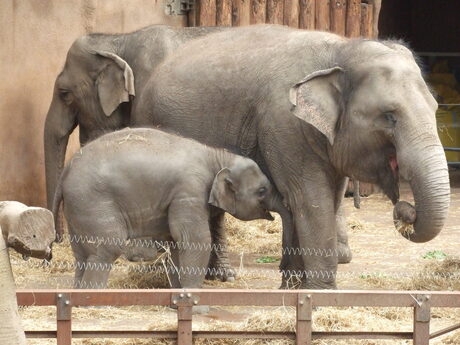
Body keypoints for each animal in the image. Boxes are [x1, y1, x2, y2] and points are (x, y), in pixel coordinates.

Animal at [52, 126, 290, 288]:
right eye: (262, 191)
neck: (217, 156)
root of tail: (65, 173)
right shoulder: (190, 191)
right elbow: (194, 240)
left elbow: (176, 242)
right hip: (93, 202)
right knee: (106, 249)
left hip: (78, 208)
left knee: (82, 255)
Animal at [132, 24, 450, 288]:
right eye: (389, 116)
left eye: (436, 108)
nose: (405, 210)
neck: (342, 50)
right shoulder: (283, 123)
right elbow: (310, 200)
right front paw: (321, 295)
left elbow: (327, 199)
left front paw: (295, 287)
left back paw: (221, 277)